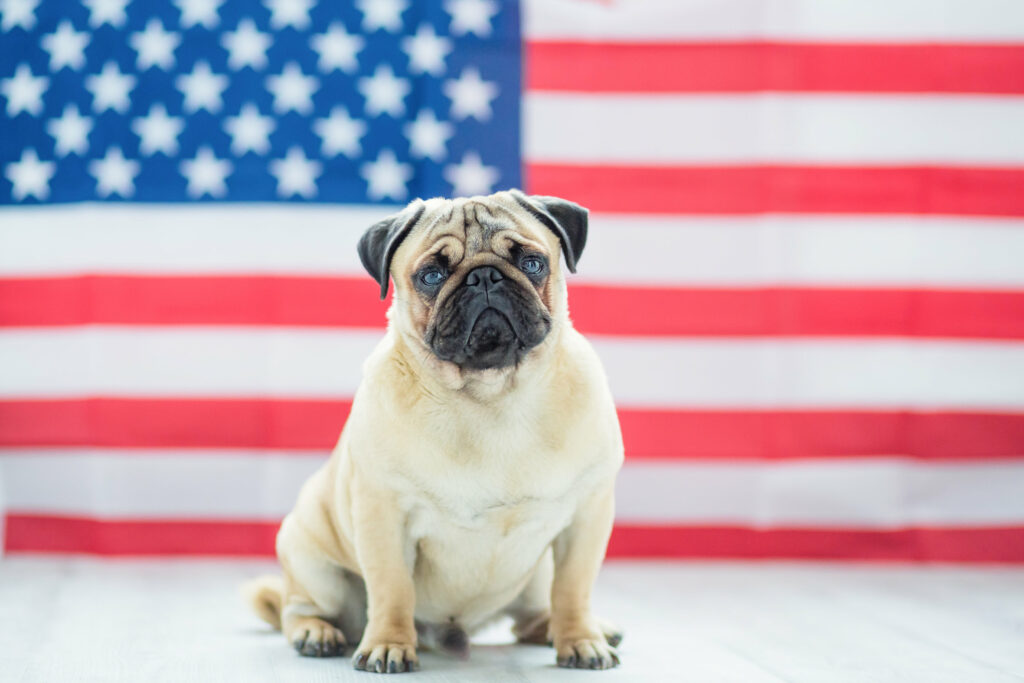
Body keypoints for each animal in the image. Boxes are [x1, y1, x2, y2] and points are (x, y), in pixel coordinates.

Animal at [243, 188, 622, 671]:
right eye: (432, 275)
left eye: (533, 262)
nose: (484, 276)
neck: (492, 395)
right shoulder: (384, 516)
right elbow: (391, 588)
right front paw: (388, 644)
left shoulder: (587, 517)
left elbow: (573, 589)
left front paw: (580, 640)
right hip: (313, 564)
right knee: (297, 607)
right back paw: (317, 632)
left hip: (536, 576)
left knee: (534, 614)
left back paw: (579, 629)